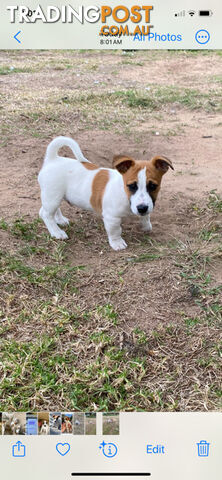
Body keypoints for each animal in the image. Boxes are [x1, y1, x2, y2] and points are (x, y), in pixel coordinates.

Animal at [38, 136, 173, 251]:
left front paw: (146, 226)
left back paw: (60, 220)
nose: (142, 208)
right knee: (45, 214)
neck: (124, 193)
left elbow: (146, 217)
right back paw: (57, 232)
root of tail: (52, 159)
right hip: (52, 197)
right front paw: (117, 243)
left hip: (55, 196)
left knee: (50, 210)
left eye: (153, 186)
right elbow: (115, 231)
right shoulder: (111, 218)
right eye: (131, 186)